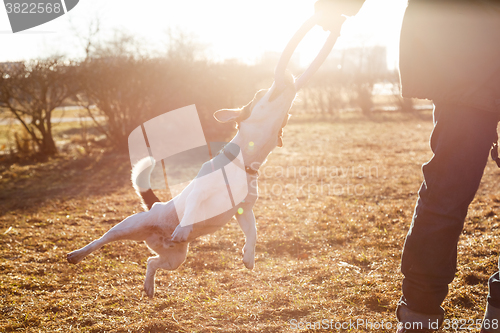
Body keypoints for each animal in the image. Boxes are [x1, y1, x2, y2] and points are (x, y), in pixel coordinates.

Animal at [64, 71, 294, 296]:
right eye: (259, 95)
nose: (285, 80)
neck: (242, 162)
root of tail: (155, 206)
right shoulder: (199, 192)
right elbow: (192, 210)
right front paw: (183, 228)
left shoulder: (243, 209)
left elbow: (253, 232)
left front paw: (249, 256)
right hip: (129, 226)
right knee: (101, 240)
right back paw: (78, 254)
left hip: (175, 259)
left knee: (151, 261)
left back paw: (149, 286)